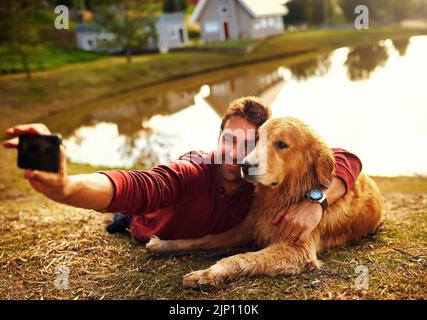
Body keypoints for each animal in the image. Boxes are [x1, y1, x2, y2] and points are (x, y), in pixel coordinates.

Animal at [147, 115, 384, 288]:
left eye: (281, 144)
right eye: (257, 140)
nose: (244, 165)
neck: (286, 195)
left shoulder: (297, 250)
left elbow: (239, 258)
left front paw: (207, 274)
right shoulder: (247, 228)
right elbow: (204, 238)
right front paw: (164, 245)